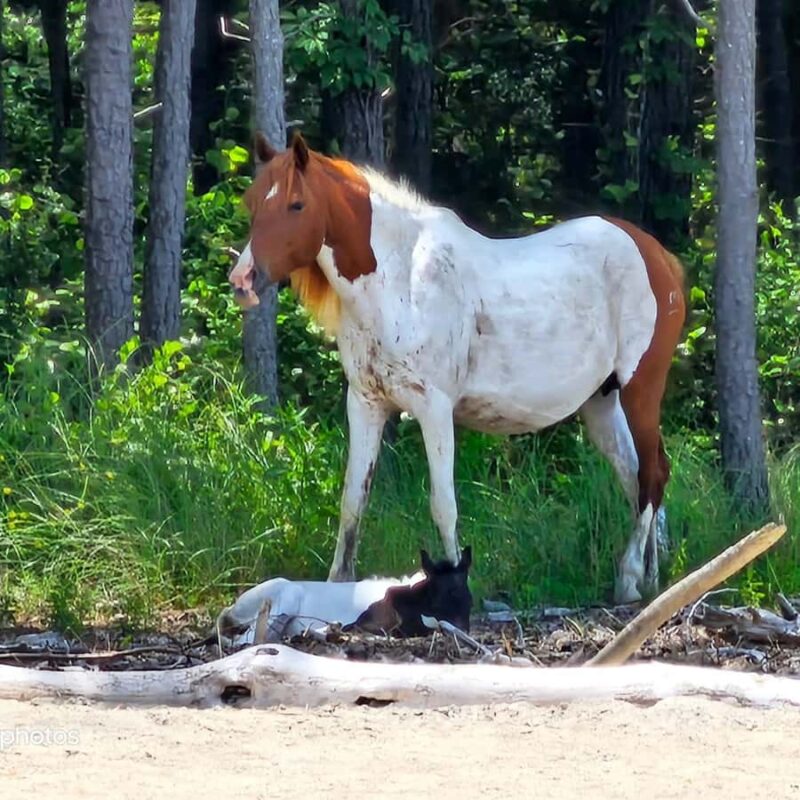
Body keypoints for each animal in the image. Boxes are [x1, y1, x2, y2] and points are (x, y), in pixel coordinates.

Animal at [216, 547, 473, 643]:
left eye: (468, 597)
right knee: (245, 641)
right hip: (282, 603)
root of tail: (230, 610)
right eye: (443, 594)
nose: (464, 628)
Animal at [229, 132, 686, 604]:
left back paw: (630, 578)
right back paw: (652, 578)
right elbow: (353, 499)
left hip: (641, 389)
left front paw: (454, 588)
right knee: (638, 479)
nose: (242, 280)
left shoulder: (433, 408)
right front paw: (338, 585)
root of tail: (659, 258)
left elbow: (443, 504)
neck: (400, 280)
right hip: (601, 403)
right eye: (252, 201)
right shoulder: (366, 403)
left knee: (652, 476)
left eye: (296, 204)